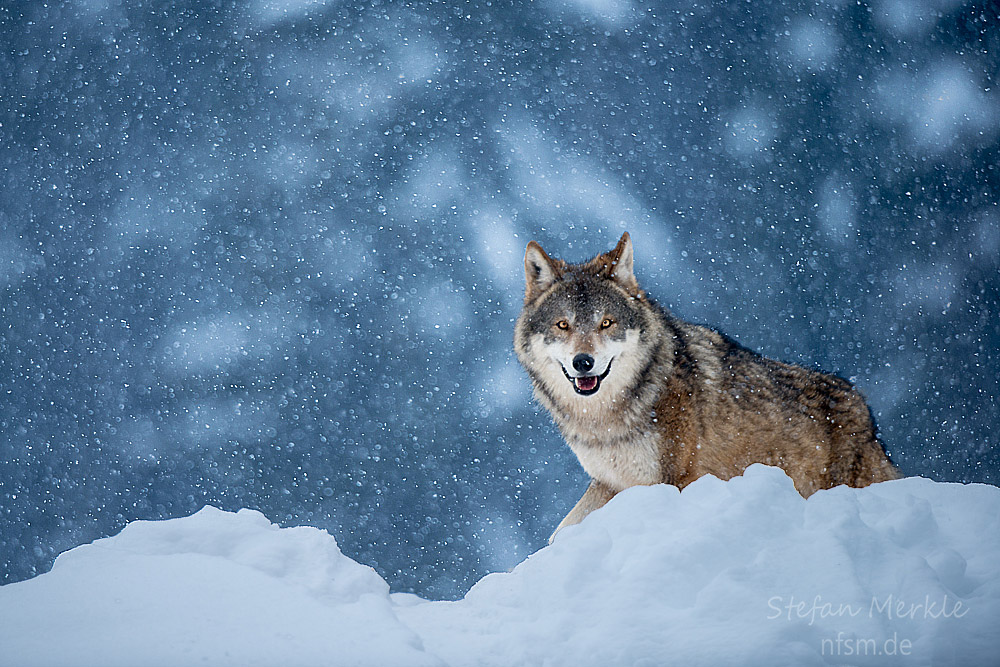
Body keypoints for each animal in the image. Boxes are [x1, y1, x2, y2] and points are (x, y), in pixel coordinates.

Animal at [516, 232, 900, 540]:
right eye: (563, 325)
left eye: (606, 323)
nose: (583, 362)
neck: (606, 421)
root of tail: (865, 413)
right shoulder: (611, 481)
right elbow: (561, 530)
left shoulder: (669, 480)